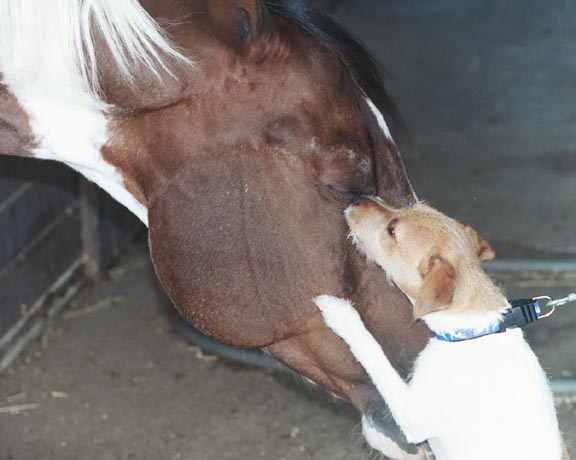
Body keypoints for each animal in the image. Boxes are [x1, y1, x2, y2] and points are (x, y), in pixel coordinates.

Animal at [312, 198, 564, 460]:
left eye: (392, 230)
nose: (357, 199)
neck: (474, 333)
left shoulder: (414, 416)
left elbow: (375, 356)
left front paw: (339, 313)